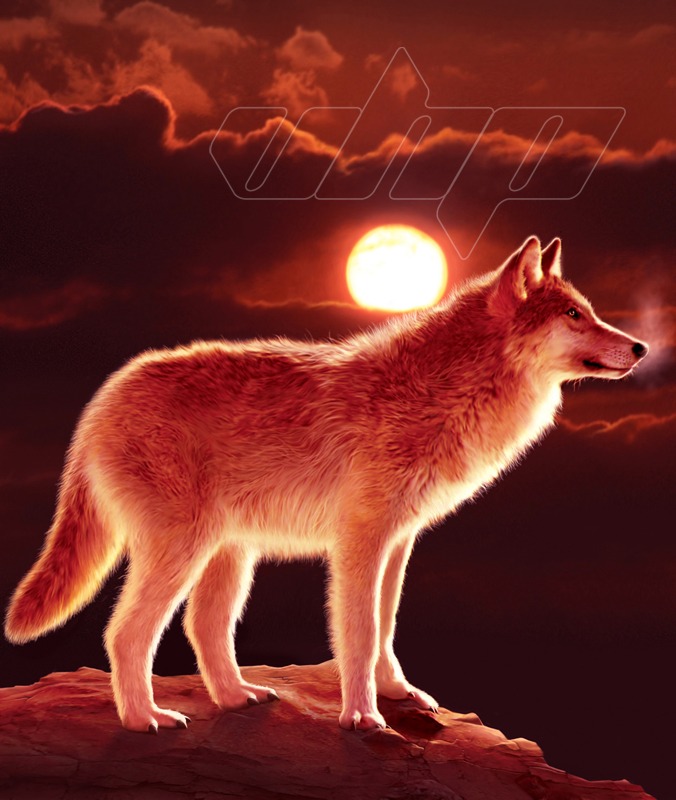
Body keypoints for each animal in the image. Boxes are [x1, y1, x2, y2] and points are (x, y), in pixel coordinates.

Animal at [5, 237, 648, 732]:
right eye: (573, 316)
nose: (641, 347)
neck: (443, 390)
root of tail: (102, 399)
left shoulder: (398, 542)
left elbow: (386, 627)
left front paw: (396, 694)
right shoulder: (360, 541)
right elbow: (359, 634)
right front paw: (362, 717)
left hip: (229, 555)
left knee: (203, 627)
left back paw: (237, 698)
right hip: (184, 550)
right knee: (125, 634)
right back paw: (145, 720)